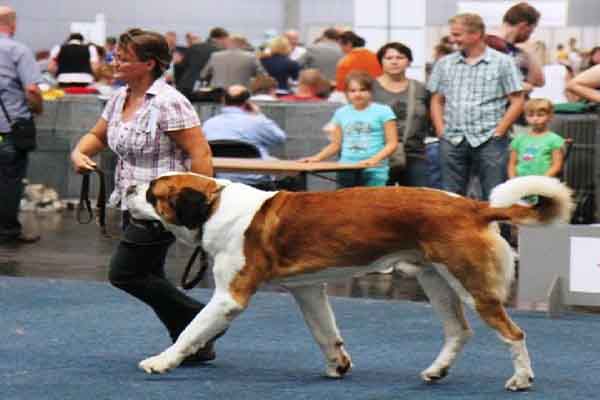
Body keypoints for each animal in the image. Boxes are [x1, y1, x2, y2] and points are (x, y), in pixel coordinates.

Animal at [125, 173, 572, 392]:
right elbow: (324, 330)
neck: (215, 205)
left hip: (472, 285)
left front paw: (161, 361)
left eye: (153, 192)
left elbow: (191, 330)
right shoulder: (308, 289)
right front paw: (337, 365)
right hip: (436, 280)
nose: (128, 186)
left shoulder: (228, 297)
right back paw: (437, 371)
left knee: (513, 333)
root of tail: (475, 206)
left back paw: (521, 380)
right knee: (458, 331)